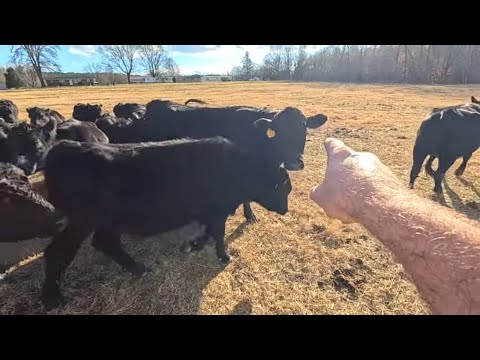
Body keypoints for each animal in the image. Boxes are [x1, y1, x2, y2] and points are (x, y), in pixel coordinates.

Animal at [40, 138, 292, 310]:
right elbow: (218, 234)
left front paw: (195, 244)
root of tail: (64, 147)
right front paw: (224, 256)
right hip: (80, 222)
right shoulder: (217, 211)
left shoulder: (208, 213)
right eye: (283, 188)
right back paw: (52, 298)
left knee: (106, 243)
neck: (236, 168)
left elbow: (209, 232)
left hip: (106, 222)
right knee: (57, 252)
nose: (285, 210)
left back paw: (138, 269)